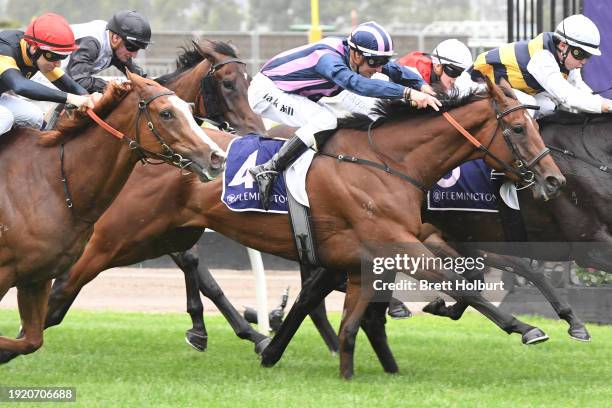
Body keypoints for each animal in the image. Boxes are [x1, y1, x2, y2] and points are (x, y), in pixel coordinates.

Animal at [0, 72, 225, 360]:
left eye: (189, 108)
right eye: (166, 113)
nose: (217, 157)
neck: (52, 179)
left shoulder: (36, 277)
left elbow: (31, 341)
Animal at [28, 79, 564, 376]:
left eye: (536, 127)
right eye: (519, 129)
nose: (554, 179)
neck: (390, 161)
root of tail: (151, 153)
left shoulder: (411, 237)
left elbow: (469, 273)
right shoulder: (395, 241)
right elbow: (460, 281)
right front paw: (526, 327)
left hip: (167, 234)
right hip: (120, 237)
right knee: (64, 287)